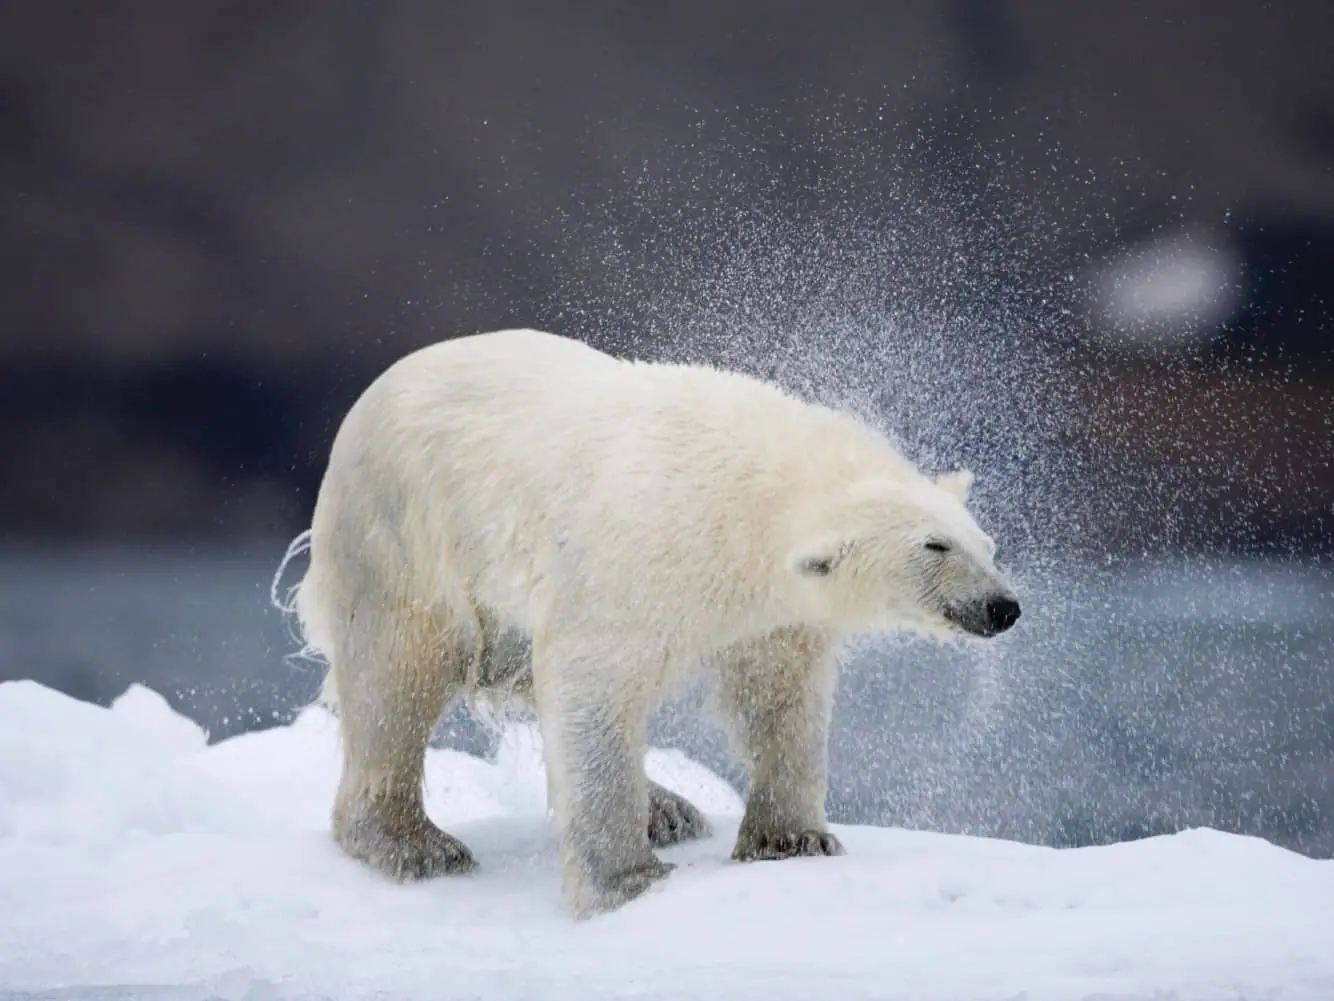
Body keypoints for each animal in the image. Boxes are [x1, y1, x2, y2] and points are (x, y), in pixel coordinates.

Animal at [275, 327, 1021, 917]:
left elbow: (779, 698)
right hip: (403, 533)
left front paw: (792, 838)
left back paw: (667, 806)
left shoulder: (770, 614)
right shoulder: (633, 556)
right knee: (396, 675)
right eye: (935, 547)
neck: (743, 497)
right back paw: (415, 843)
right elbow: (595, 692)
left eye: (985, 543)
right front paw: (627, 878)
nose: (1003, 607)